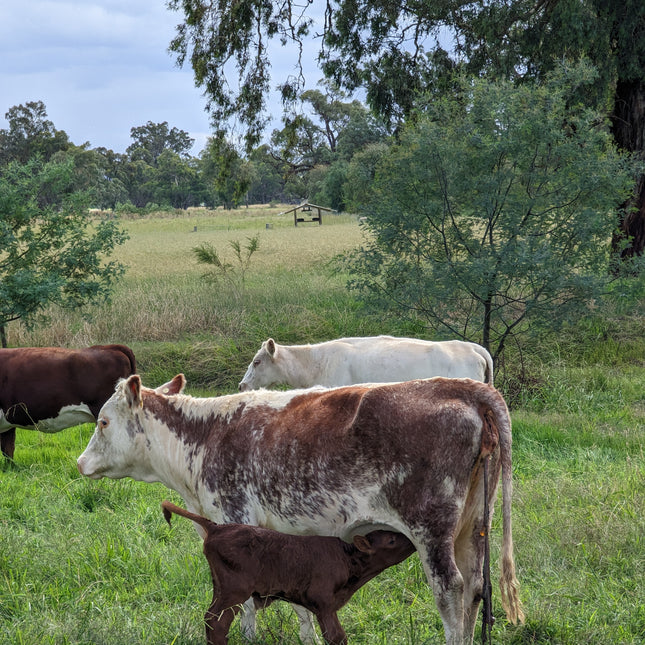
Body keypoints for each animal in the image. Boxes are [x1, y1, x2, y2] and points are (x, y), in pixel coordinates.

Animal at [162, 500, 416, 645]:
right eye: (391, 540)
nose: (411, 540)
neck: (347, 557)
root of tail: (217, 527)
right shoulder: (324, 602)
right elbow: (336, 637)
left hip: (222, 588)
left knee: (212, 620)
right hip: (235, 590)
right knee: (217, 621)